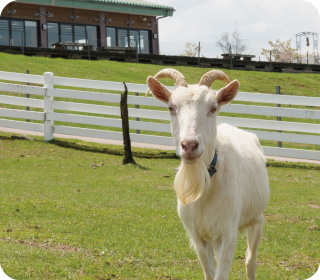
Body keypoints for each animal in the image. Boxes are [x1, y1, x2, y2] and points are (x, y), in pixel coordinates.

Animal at [147, 69, 270, 280]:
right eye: (171, 107)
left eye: (213, 108)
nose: (189, 145)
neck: (205, 187)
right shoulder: (198, 236)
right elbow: (209, 273)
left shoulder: (228, 233)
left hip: (256, 218)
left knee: (250, 260)